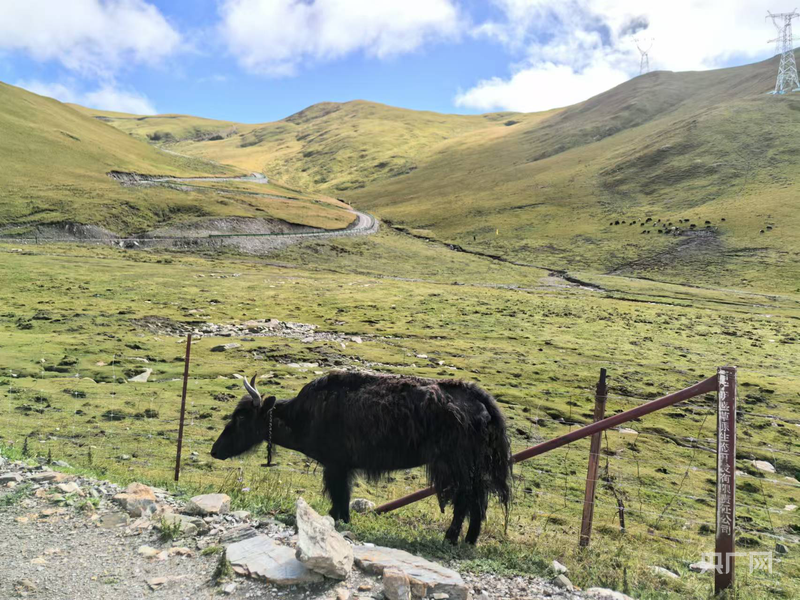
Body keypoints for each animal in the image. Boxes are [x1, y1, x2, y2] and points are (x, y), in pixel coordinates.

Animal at [211, 370, 512, 544]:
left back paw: (451, 538)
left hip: (457, 464)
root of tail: (480, 400)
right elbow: (341, 496)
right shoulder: (343, 466)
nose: (215, 450)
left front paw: (339, 520)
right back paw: (470, 539)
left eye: (241, 417)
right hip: (472, 466)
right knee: (478, 499)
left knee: (466, 498)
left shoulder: (336, 465)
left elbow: (339, 495)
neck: (304, 414)